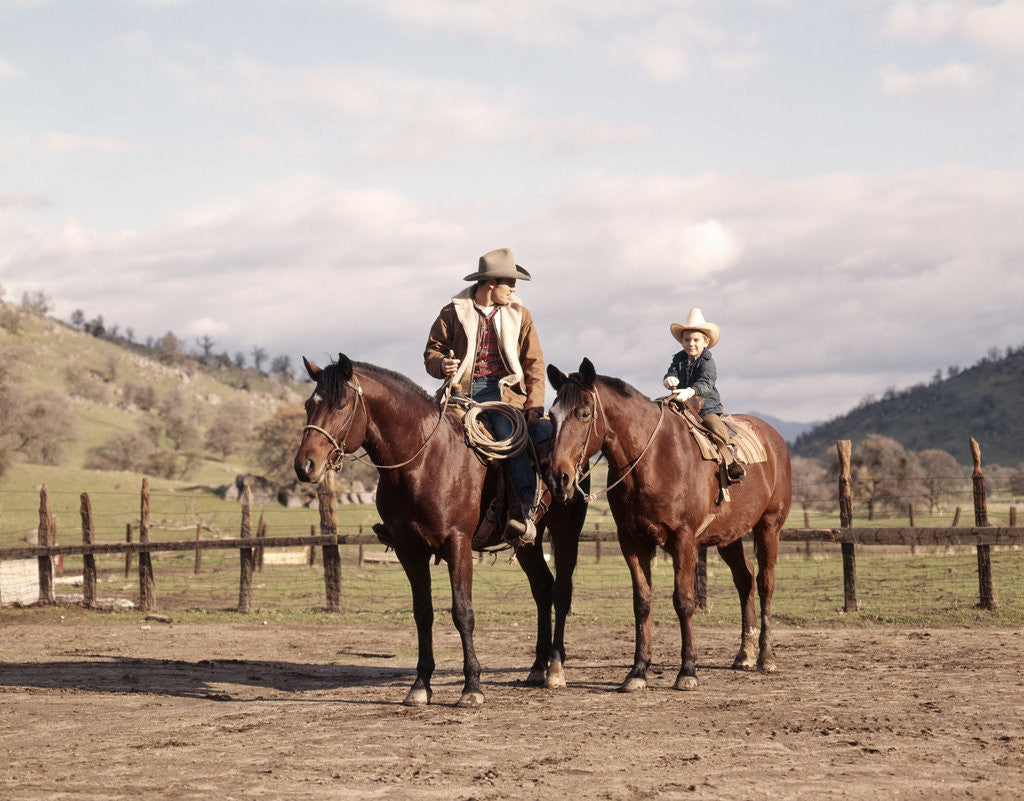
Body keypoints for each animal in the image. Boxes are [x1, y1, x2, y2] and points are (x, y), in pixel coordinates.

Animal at [293, 354, 588, 707]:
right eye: (309, 404)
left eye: (340, 405)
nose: (305, 465)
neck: (421, 459)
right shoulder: (408, 549)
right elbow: (423, 613)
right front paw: (420, 684)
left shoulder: (457, 544)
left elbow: (463, 613)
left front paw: (472, 687)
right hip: (526, 542)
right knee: (543, 587)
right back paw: (537, 667)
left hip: (565, 529)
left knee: (562, 590)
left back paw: (555, 668)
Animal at [545, 358, 792, 692]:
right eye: (551, 415)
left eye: (584, 413)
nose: (558, 479)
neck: (651, 458)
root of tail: (773, 438)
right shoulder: (632, 542)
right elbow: (642, 603)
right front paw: (637, 671)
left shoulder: (683, 540)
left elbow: (684, 602)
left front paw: (687, 671)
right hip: (729, 537)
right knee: (745, 579)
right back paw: (745, 654)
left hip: (769, 526)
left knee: (766, 583)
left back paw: (766, 656)